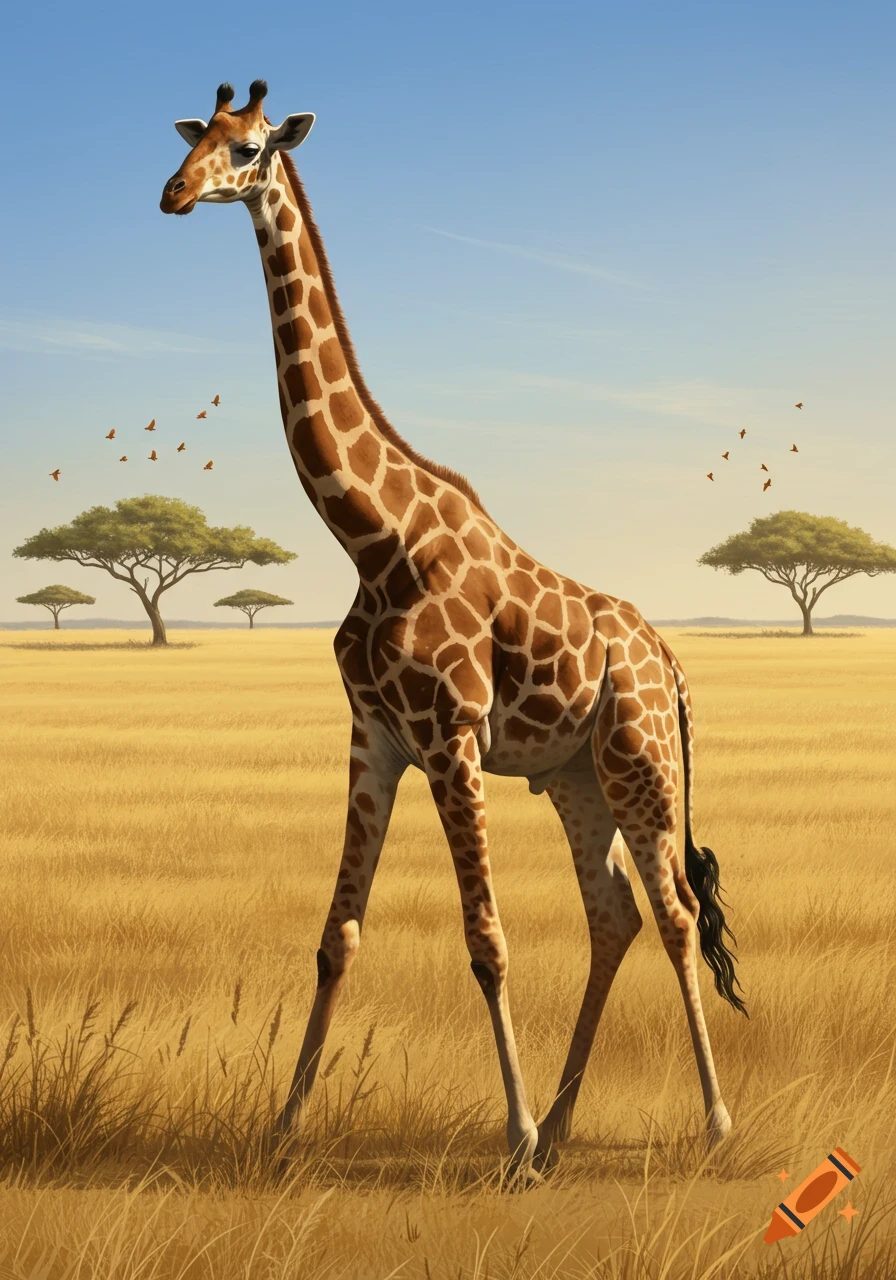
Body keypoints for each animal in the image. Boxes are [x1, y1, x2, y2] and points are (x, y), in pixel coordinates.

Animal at [160, 81, 747, 1184]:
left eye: (249, 149)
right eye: (194, 135)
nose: (173, 192)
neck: (371, 532)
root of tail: (669, 659)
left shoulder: (451, 741)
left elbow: (486, 940)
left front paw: (509, 1140)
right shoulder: (375, 739)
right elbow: (337, 934)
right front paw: (281, 1132)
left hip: (641, 762)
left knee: (676, 911)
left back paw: (709, 1125)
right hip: (575, 777)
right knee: (612, 913)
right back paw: (563, 1124)